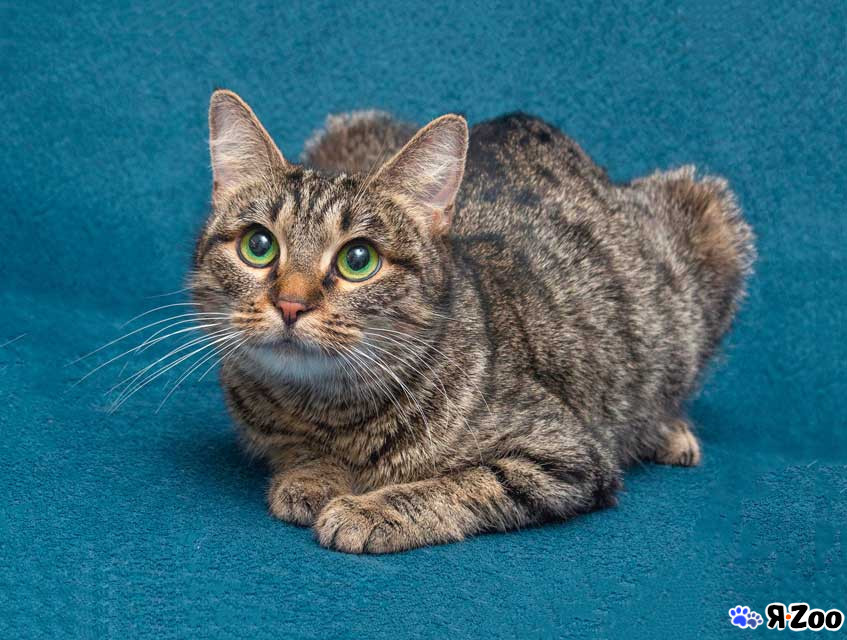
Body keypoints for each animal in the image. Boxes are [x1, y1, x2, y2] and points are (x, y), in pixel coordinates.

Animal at [190, 90, 755, 553]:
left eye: (358, 259)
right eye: (258, 246)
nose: (290, 303)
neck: (326, 408)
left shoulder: (564, 455)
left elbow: (460, 484)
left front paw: (370, 509)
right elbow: (294, 450)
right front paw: (311, 476)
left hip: (712, 217)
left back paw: (668, 430)